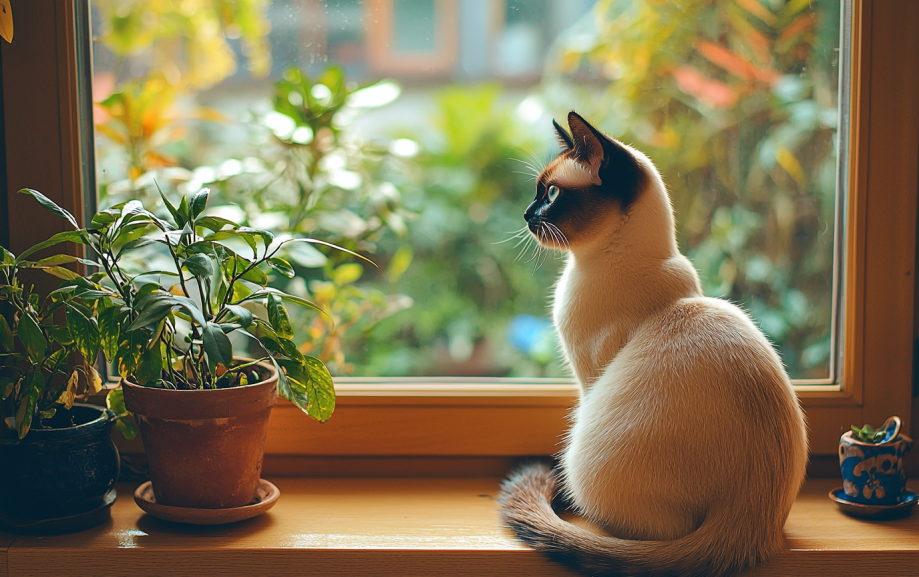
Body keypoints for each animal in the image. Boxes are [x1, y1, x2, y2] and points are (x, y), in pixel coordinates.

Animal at [500, 110, 808, 572]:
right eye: (539, 192)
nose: (524, 213)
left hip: (585, 446)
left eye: (551, 193)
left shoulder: (589, 376)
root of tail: (748, 527)